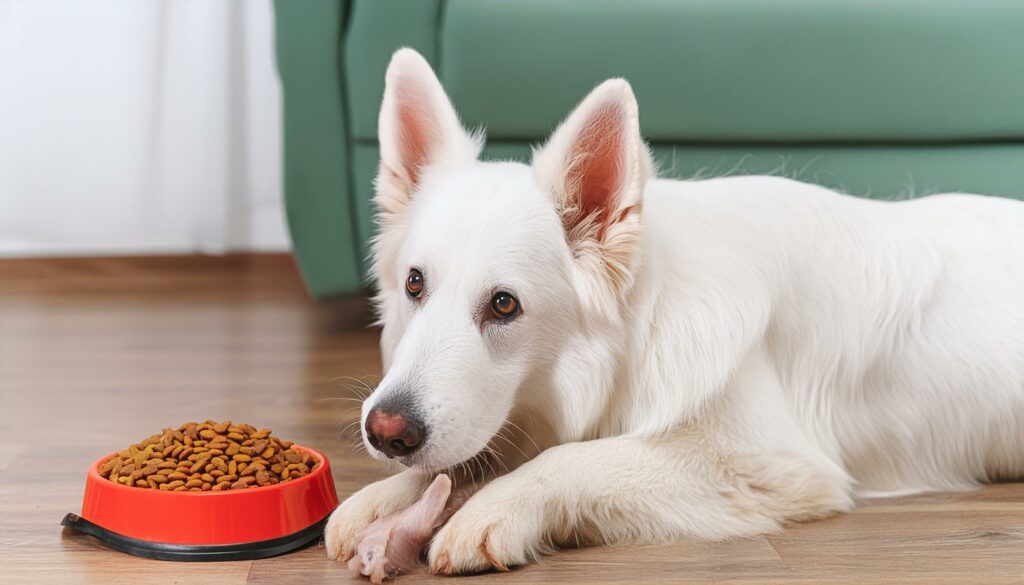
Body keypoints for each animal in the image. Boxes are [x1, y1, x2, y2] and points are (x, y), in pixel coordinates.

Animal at [325, 46, 1024, 577]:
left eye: (504, 304)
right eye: (415, 284)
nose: (385, 433)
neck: (641, 329)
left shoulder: (771, 464)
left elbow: (575, 457)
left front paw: (497, 506)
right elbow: (463, 462)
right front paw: (380, 497)